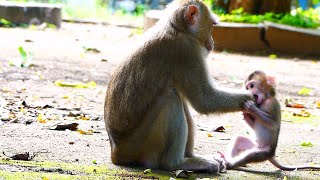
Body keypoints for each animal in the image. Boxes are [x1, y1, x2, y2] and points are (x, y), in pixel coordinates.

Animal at [104, 0, 252, 174]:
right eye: (212, 26)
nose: (212, 42)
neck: (176, 28)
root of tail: (116, 153)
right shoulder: (186, 50)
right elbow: (205, 100)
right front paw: (255, 98)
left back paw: (192, 157)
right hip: (139, 144)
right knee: (171, 98)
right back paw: (177, 164)